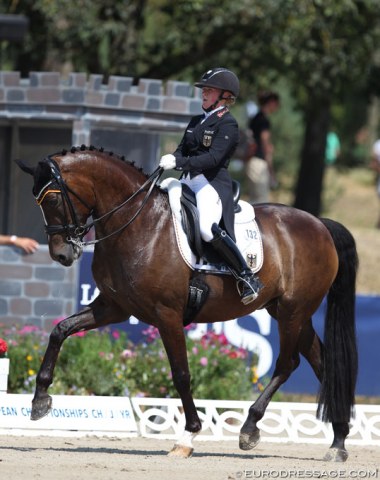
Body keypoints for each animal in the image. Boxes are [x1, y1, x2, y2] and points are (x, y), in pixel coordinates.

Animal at [16, 146, 358, 462]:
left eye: (53, 200)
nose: (62, 254)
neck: (138, 223)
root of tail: (319, 224)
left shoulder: (167, 314)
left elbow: (181, 374)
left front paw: (188, 436)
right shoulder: (113, 307)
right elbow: (60, 331)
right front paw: (40, 400)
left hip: (292, 311)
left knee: (288, 364)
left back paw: (250, 428)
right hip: (291, 312)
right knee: (322, 363)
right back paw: (338, 442)